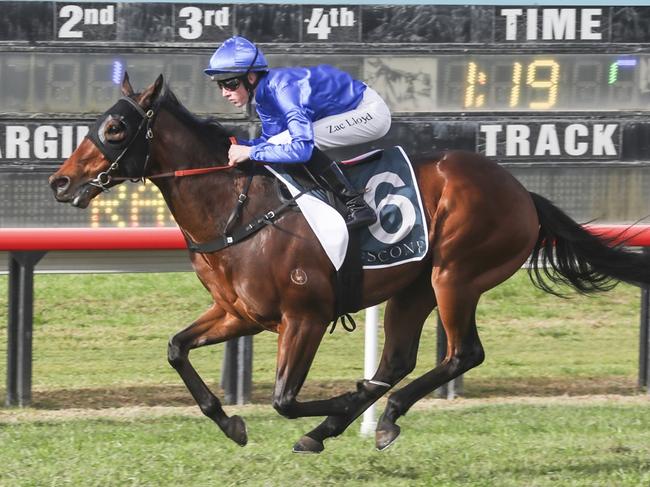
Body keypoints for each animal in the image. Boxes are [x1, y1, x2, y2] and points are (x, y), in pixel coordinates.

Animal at [49, 75, 648, 454]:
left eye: (116, 129)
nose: (60, 182)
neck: (235, 208)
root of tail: (522, 192)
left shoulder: (305, 316)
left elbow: (285, 399)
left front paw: (338, 399)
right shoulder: (240, 314)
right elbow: (176, 349)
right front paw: (231, 422)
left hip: (455, 275)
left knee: (462, 354)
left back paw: (368, 414)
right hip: (414, 287)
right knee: (397, 361)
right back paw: (350, 422)